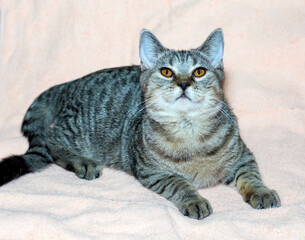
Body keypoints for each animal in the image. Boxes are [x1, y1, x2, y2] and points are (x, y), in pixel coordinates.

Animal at [0, 28, 280, 219]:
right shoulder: (153, 172)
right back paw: (81, 161)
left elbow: (251, 176)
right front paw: (193, 199)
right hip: (76, 132)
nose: (183, 83)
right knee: (50, 141)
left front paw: (262, 192)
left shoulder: (244, 156)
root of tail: (70, 83)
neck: (189, 132)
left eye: (199, 71)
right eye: (166, 71)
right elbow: (179, 183)